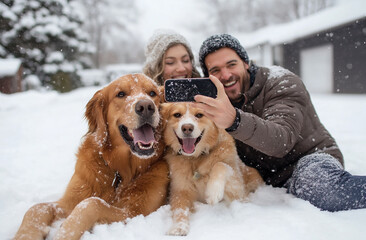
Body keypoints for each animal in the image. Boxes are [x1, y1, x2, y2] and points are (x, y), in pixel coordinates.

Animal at [161, 102, 264, 235]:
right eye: (177, 115)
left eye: (199, 115)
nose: (187, 128)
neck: (196, 158)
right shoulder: (180, 190)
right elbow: (180, 210)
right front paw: (179, 227)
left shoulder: (238, 192)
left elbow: (221, 165)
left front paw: (213, 192)